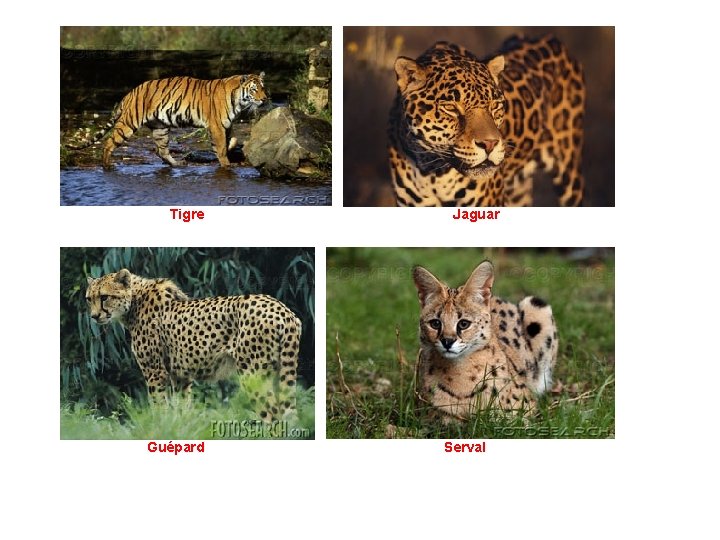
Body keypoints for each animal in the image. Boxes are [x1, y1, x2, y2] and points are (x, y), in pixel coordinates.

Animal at [65, 73, 267, 167]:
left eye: (263, 88)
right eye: (254, 89)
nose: (265, 99)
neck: (238, 101)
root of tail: (130, 92)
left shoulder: (227, 125)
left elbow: (229, 141)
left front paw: (230, 148)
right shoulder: (216, 125)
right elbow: (221, 147)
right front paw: (226, 165)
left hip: (160, 128)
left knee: (161, 150)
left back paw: (177, 164)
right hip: (129, 123)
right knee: (109, 142)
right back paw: (107, 165)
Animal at [85, 269, 301, 421]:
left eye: (104, 297)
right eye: (89, 299)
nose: (94, 316)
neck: (134, 302)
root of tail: (283, 310)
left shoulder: (155, 372)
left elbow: (159, 407)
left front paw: (160, 426)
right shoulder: (180, 376)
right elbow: (182, 408)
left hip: (253, 373)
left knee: (272, 414)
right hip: (277, 371)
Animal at [389, 36, 585, 207]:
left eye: (495, 106)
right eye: (451, 108)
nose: (490, 144)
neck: (432, 172)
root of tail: (551, 38)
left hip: (569, 170)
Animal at [412, 261, 558, 422]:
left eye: (464, 324)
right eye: (435, 323)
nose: (447, 341)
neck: (460, 372)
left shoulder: (524, 411)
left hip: (536, 305)